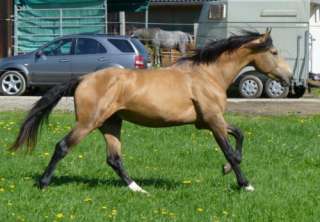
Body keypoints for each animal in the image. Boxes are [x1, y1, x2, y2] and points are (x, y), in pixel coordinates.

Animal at [11, 29, 292, 193]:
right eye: (274, 51)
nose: (288, 78)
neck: (207, 74)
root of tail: (83, 79)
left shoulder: (207, 121)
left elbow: (240, 136)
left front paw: (225, 170)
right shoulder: (213, 120)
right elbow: (231, 151)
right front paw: (245, 184)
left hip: (111, 124)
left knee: (114, 159)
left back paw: (137, 189)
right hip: (88, 123)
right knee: (63, 146)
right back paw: (43, 184)